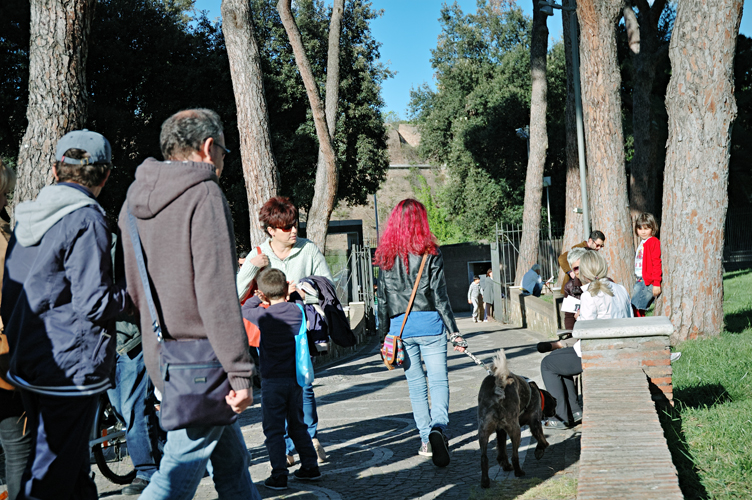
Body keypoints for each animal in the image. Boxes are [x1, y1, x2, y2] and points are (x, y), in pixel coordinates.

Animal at [478, 350, 556, 486]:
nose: (556, 401)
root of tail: (498, 388)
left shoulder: (500, 431)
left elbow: (502, 450)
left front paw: (505, 465)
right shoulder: (535, 422)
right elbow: (542, 440)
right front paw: (540, 449)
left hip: (483, 431)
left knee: (484, 458)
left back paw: (485, 481)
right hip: (516, 430)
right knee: (515, 456)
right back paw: (519, 472)